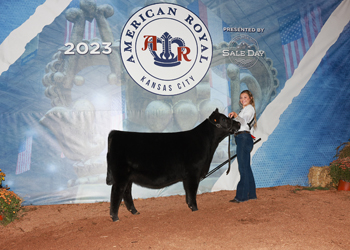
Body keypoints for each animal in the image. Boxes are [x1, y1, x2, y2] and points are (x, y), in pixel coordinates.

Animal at [105, 108, 239, 222]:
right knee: (116, 193)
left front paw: (191, 207)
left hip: (128, 177)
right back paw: (115, 217)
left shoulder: (187, 176)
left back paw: (135, 212)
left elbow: (188, 193)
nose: (238, 123)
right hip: (121, 176)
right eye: (224, 119)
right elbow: (192, 192)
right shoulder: (193, 173)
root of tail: (116, 133)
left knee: (126, 193)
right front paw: (195, 209)